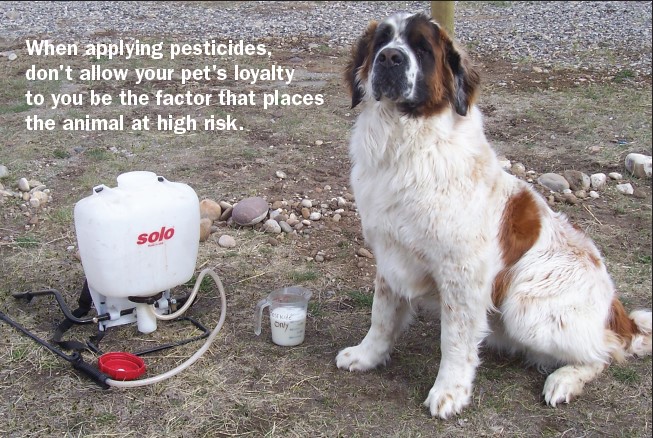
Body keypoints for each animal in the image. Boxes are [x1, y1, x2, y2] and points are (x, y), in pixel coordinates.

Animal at [336, 12, 652, 420]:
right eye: (381, 42)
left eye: (422, 49)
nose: (390, 58)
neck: (405, 143)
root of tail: (617, 310)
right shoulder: (389, 254)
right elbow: (382, 314)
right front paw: (367, 355)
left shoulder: (463, 274)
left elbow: (455, 339)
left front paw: (449, 391)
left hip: (525, 305)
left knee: (604, 353)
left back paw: (564, 381)